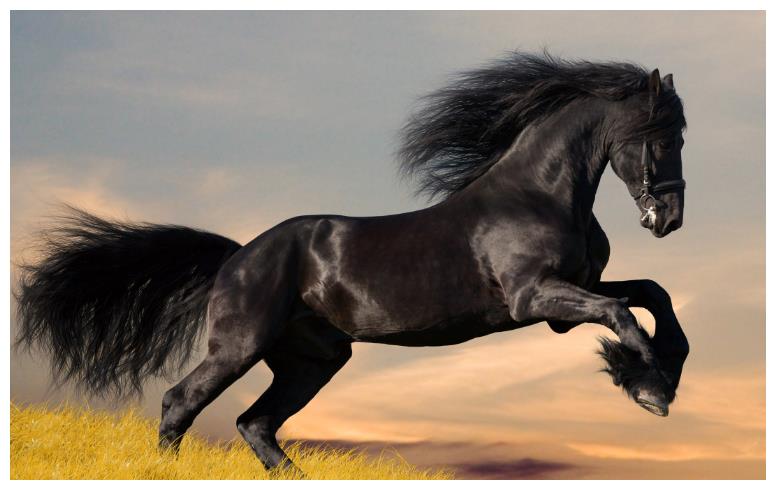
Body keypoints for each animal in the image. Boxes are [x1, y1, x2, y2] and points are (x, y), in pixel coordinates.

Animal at [15, 52, 689, 472]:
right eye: (661, 136)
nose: (669, 219)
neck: (538, 194)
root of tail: (238, 256)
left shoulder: (569, 295)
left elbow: (651, 294)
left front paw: (659, 372)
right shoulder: (535, 299)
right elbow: (622, 315)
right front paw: (648, 386)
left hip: (313, 359)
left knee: (255, 423)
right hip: (239, 346)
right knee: (181, 403)